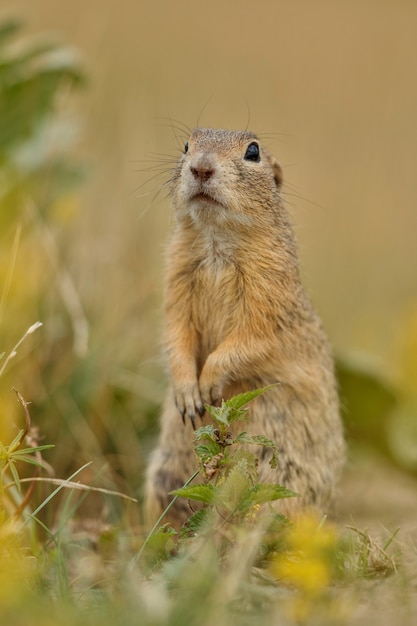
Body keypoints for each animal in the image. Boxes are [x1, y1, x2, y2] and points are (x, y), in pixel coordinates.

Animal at [143, 127, 344, 528]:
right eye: (187, 145)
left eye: (253, 151)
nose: (201, 167)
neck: (216, 241)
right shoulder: (175, 278)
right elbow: (175, 333)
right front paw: (187, 394)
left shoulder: (269, 295)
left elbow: (251, 340)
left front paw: (208, 383)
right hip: (165, 475)